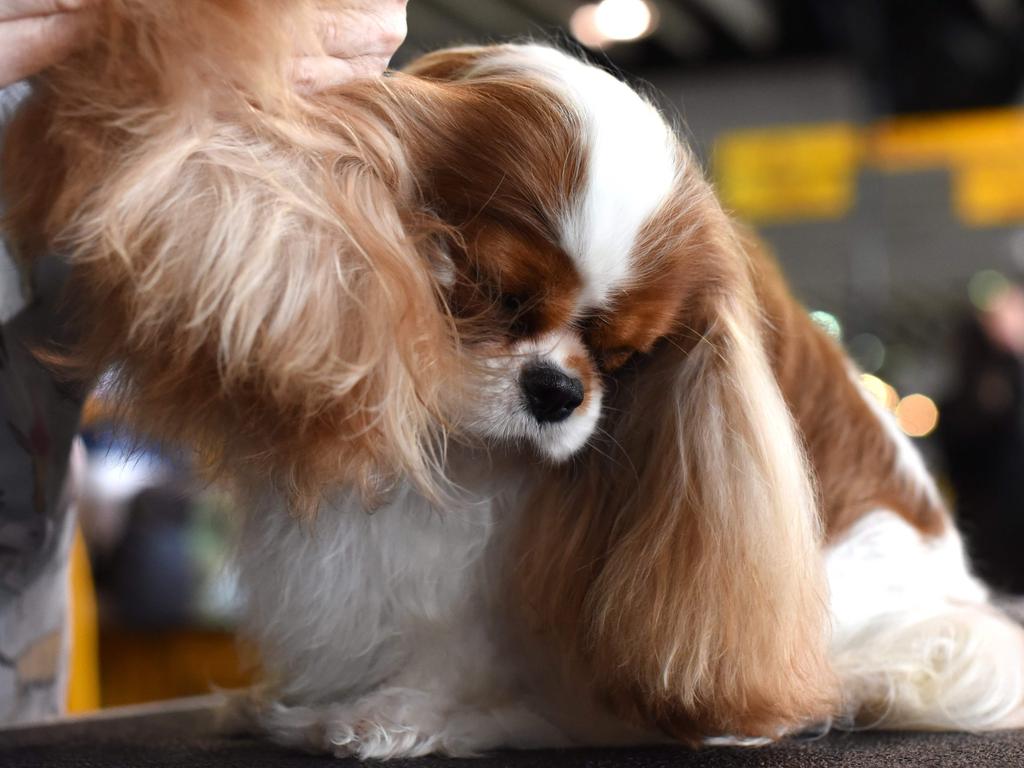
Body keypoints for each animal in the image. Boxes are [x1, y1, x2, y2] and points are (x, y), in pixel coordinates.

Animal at [2, 0, 1024, 757]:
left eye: (626, 357)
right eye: (494, 293)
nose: (557, 393)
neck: (465, 450)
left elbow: (478, 660)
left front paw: (397, 715)